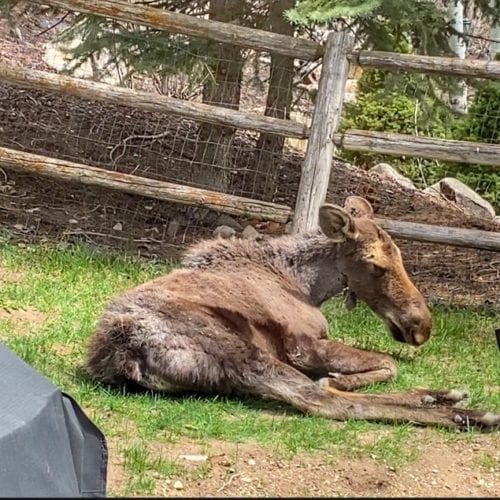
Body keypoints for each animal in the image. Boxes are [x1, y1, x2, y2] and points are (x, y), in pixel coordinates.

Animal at [87, 195, 500, 430]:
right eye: (376, 264)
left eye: (398, 256)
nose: (421, 326)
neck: (308, 286)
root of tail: (121, 353)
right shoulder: (305, 345)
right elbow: (387, 363)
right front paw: (339, 378)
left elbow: (386, 363)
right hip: (243, 352)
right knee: (324, 403)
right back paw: (467, 414)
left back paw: (443, 397)